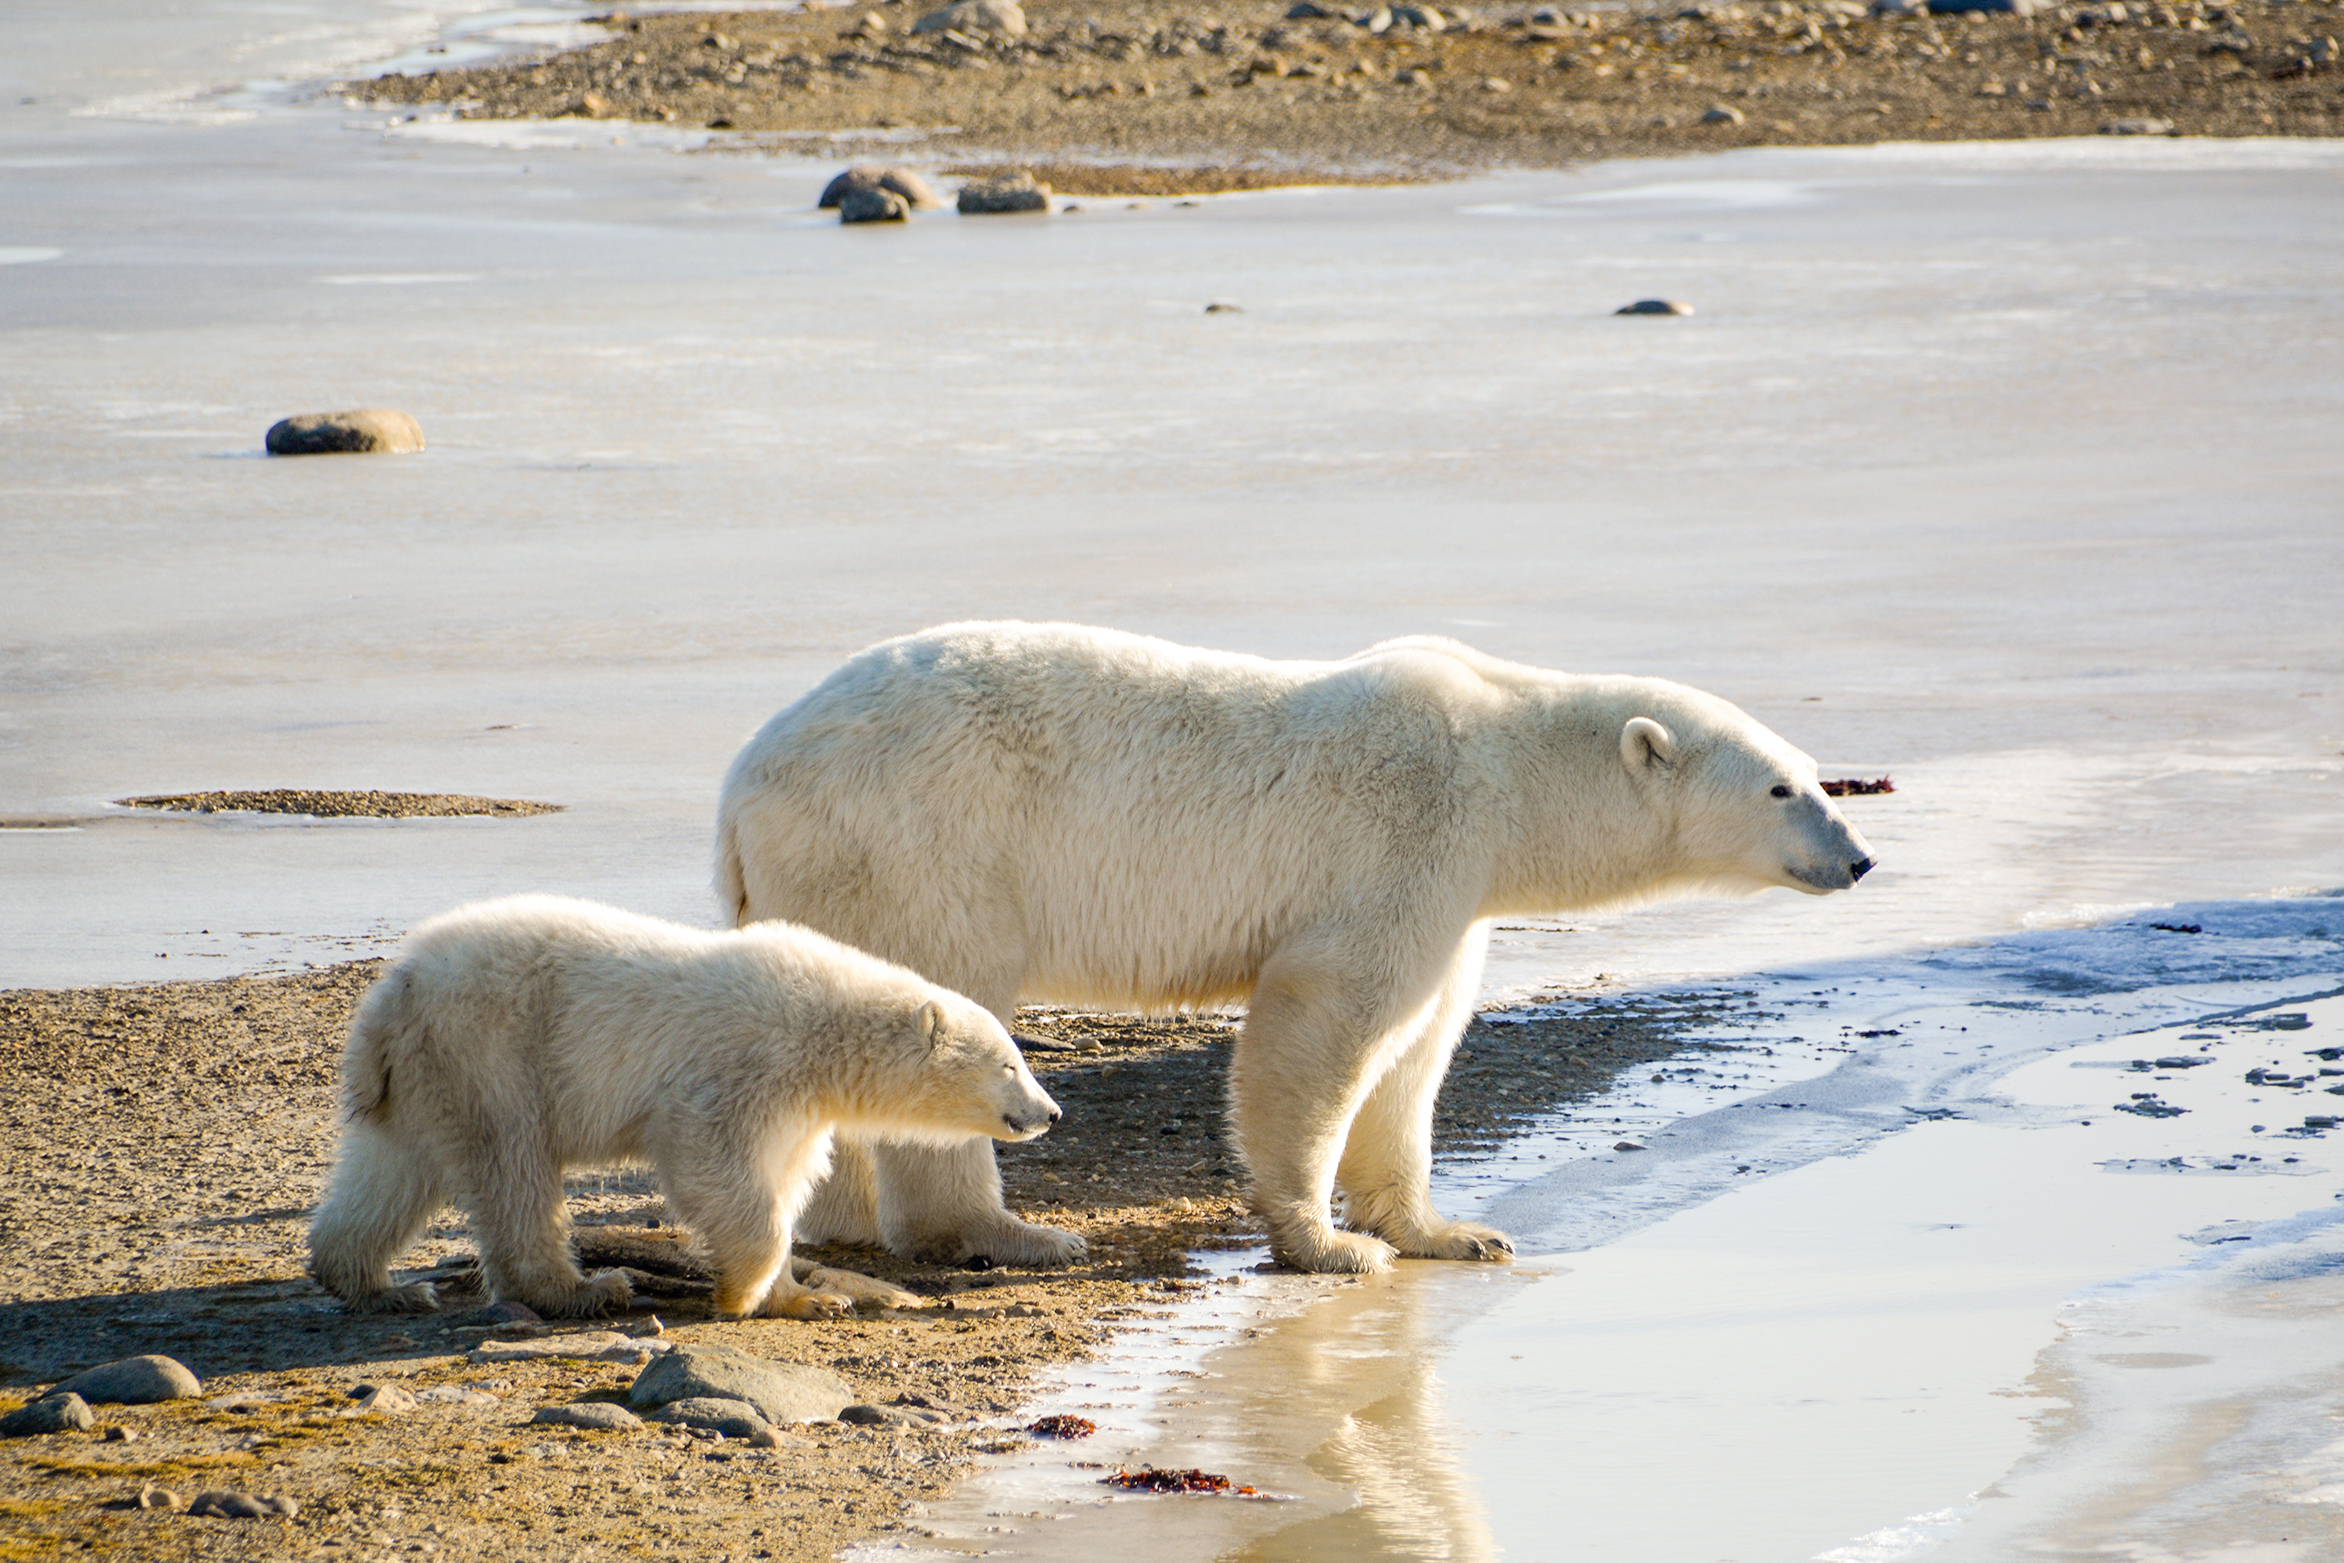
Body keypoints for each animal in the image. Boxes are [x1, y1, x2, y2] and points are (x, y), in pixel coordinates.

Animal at [721, 618, 1875, 1274]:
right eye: (1783, 788)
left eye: (1821, 775)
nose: (1860, 860)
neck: (1505, 764)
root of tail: (744, 784)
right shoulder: (1403, 836)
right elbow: (1329, 1021)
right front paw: (1329, 1245)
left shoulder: (1459, 892)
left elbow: (1421, 1048)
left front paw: (1448, 1231)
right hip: (919, 842)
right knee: (946, 1002)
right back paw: (1003, 1233)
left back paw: (837, 1222)